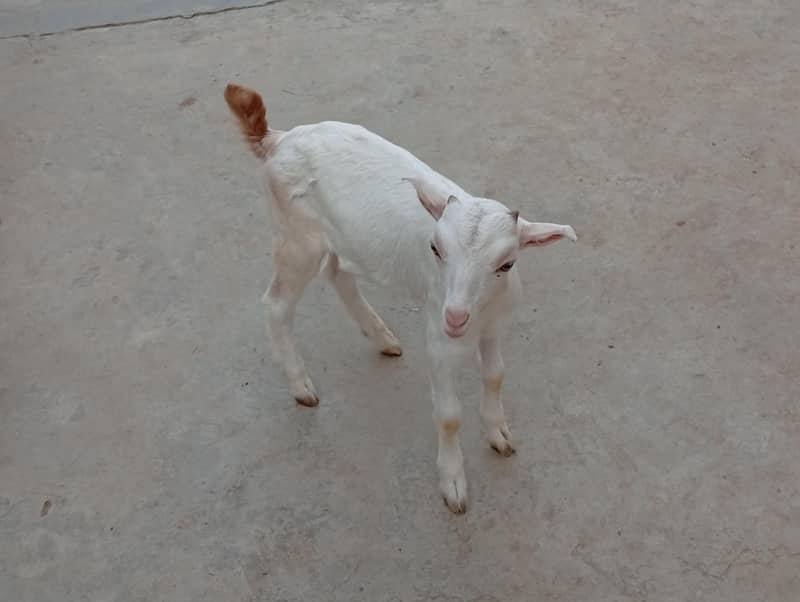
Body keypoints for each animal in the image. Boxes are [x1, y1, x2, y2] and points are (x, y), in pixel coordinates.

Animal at [224, 83, 577, 513]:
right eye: (435, 249)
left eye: (507, 264)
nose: (455, 317)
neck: (480, 312)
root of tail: (277, 138)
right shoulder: (439, 336)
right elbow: (449, 414)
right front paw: (453, 483)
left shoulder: (496, 323)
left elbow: (495, 375)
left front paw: (499, 434)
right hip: (297, 236)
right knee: (277, 304)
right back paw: (301, 387)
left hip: (341, 236)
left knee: (338, 273)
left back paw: (382, 337)